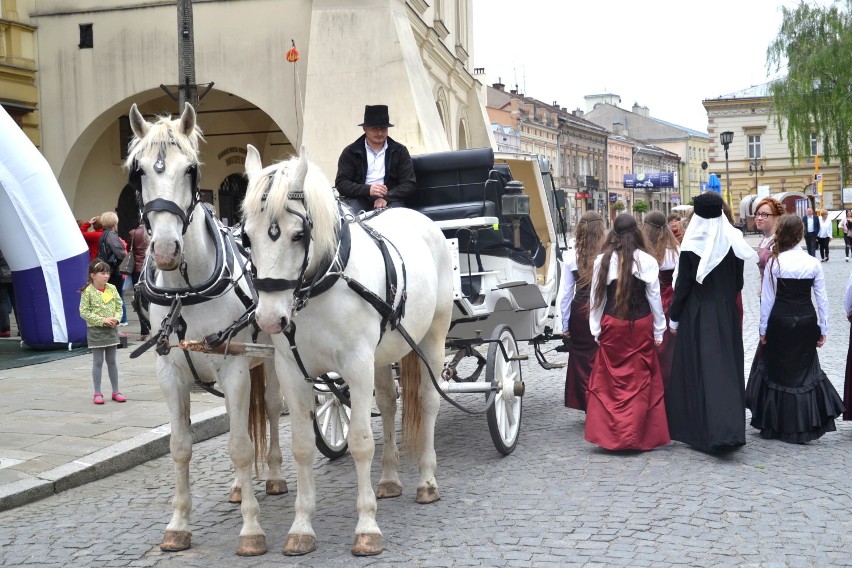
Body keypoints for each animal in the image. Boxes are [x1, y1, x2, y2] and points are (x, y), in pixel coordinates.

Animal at [125, 104, 286, 556]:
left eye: (191, 169)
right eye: (139, 171)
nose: (164, 250)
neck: (187, 291)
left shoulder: (234, 369)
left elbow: (240, 446)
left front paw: (251, 529)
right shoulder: (171, 373)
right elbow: (180, 447)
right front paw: (178, 524)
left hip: (269, 362)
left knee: (269, 410)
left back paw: (274, 477)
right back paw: (237, 487)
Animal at [241, 145, 452, 556]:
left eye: (297, 234)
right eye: (246, 237)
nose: (270, 319)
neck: (321, 285)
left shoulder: (356, 365)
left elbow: (360, 443)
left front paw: (367, 525)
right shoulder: (292, 371)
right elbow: (303, 446)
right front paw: (301, 526)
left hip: (433, 336)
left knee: (428, 402)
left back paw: (426, 481)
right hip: (384, 353)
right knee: (388, 401)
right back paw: (389, 478)